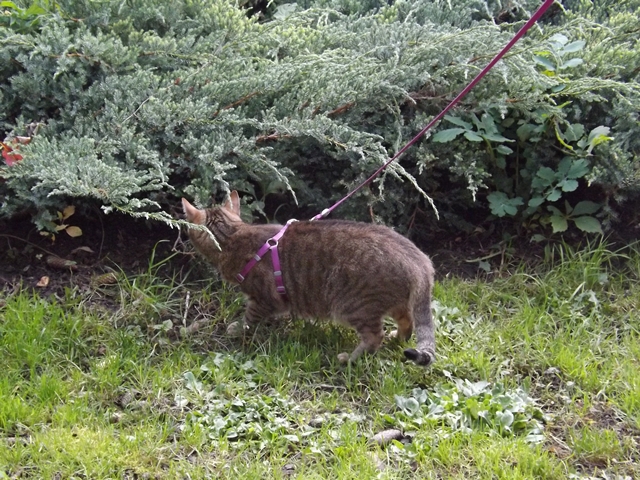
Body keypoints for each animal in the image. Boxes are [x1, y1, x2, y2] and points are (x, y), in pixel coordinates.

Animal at [182, 189, 438, 366]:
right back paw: (398, 338)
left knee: (375, 336)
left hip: (352, 306)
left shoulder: (264, 298)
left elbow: (250, 317)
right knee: (407, 321)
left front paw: (237, 329)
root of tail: (420, 262)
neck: (232, 236)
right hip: (394, 303)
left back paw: (350, 359)